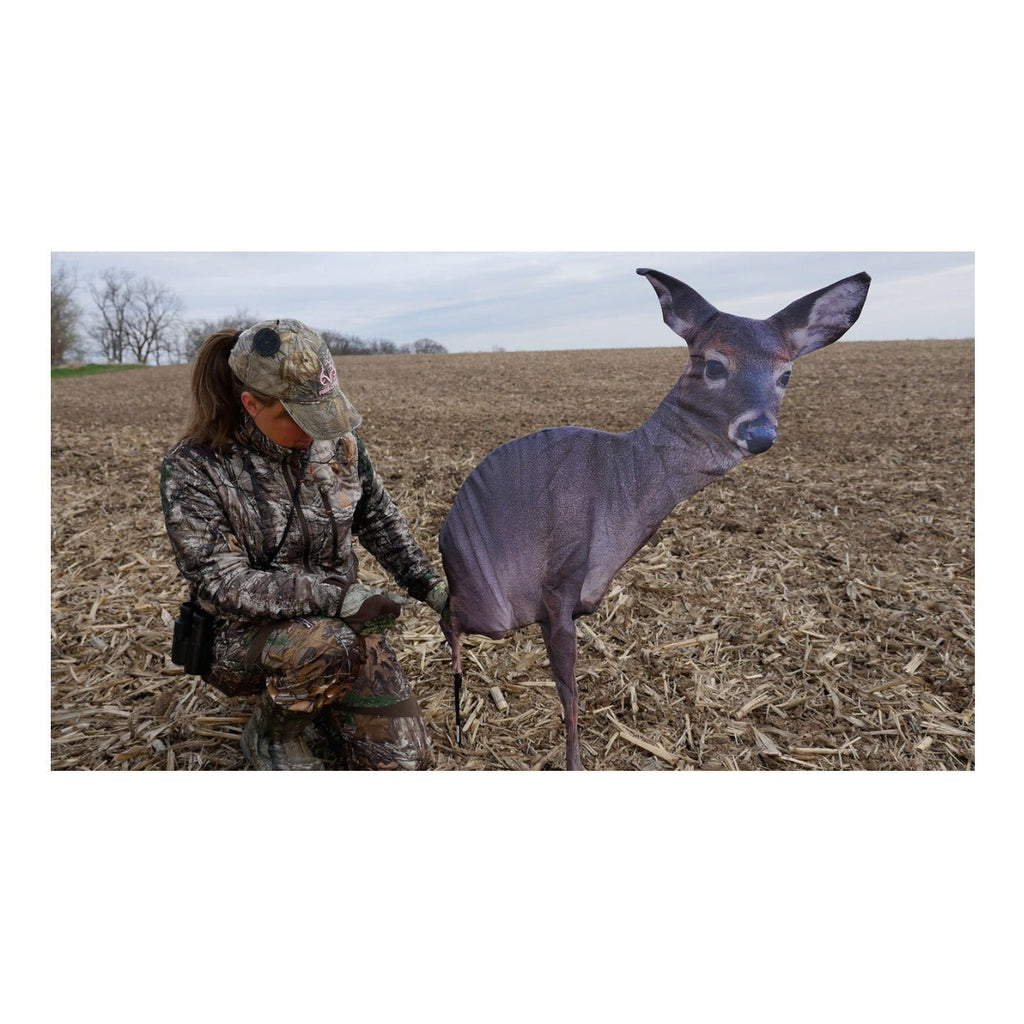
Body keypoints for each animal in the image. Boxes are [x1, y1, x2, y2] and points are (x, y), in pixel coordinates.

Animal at [438, 266, 871, 770]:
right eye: (714, 365)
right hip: (492, 607)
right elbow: (569, 696)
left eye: (786, 373)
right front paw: (574, 763)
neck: (620, 492)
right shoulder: (557, 584)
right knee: (448, 616)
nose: (759, 432)